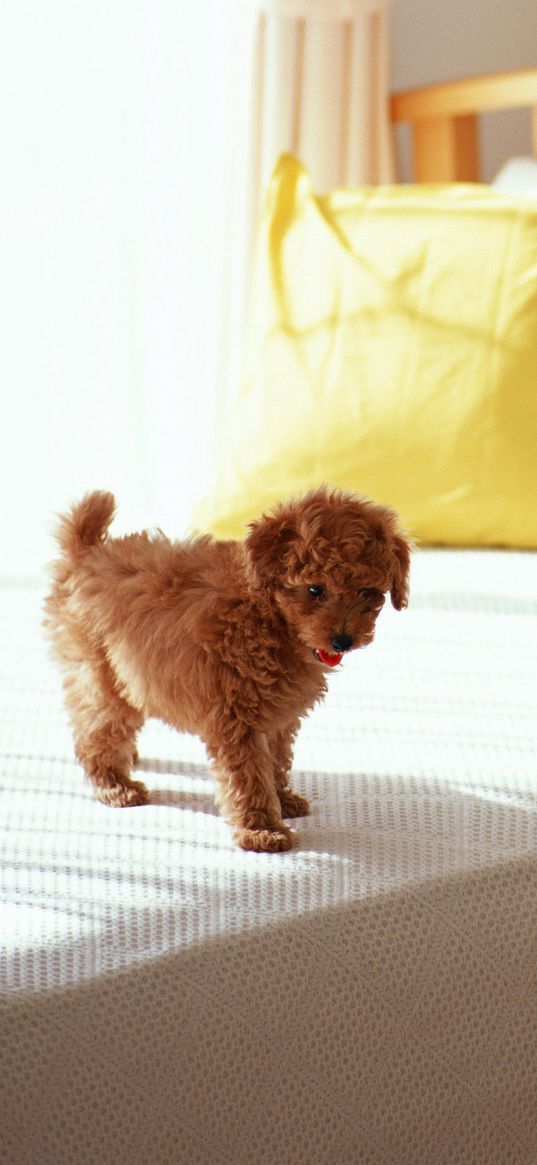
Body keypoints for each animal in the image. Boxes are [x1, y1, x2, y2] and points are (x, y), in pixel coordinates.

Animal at [43, 486, 410, 852]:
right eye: (315, 589)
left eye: (367, 592)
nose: (343, 640)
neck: (268, 614)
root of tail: (88, 551)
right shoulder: (235, 716)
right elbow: (248, 776)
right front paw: (262, 830)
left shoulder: (277, 717)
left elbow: (275, 760)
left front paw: (282, 799)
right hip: (102, 673)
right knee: (96, 731)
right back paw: (115, 785)